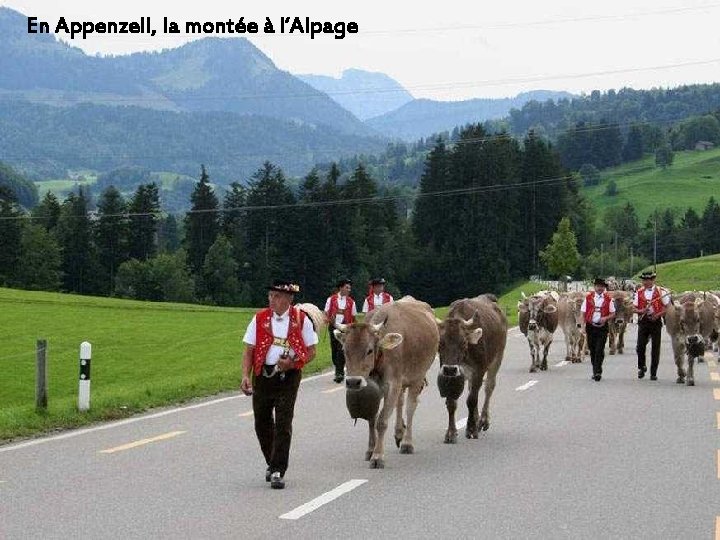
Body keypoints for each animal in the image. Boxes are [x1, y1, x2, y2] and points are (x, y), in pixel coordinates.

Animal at [332, 300, 438, 468]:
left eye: (369, 350)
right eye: (344, 350)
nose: (353, 382)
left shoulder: (392, 384)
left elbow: (381, 421)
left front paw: (377, 456)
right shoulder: (378, 386)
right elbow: (371, 419)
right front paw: (370, 450)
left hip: (417, 376)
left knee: (410, 407)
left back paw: (407, 442)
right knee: (400, 402)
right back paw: (399, 432)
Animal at [434, 296, 506, 442]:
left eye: (463, 343)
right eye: (440, 343)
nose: (450, 369)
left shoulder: (479, 371)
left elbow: (471, 400)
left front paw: (471, 429)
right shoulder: (450, 375)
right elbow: (451, 403)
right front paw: (451, 433)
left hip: (497, 358)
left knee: (489, 387)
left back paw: (483, 420)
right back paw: (476, 419)